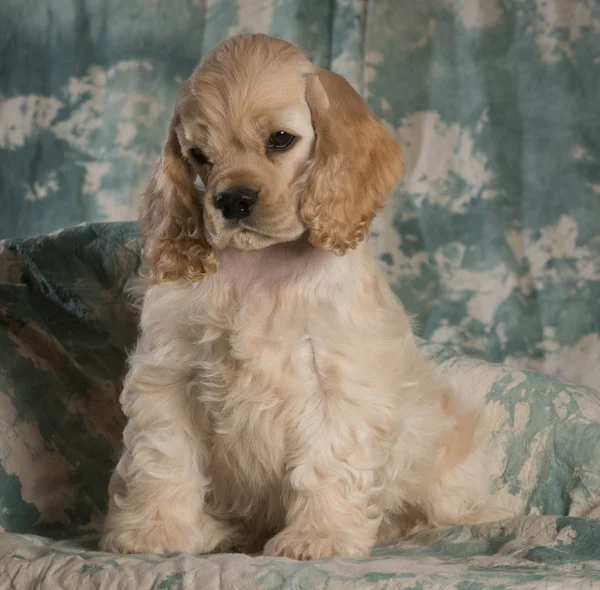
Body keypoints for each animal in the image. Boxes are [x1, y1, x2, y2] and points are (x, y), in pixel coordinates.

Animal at [99, 34, 502, 560]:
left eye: (281, 140)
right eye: (199, 155)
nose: (232, 201)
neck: (260, 264)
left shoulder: (337, 379)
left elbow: (328, 461)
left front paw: (319, 537)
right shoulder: (169, 374)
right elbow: (163, 455)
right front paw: (155, 530)